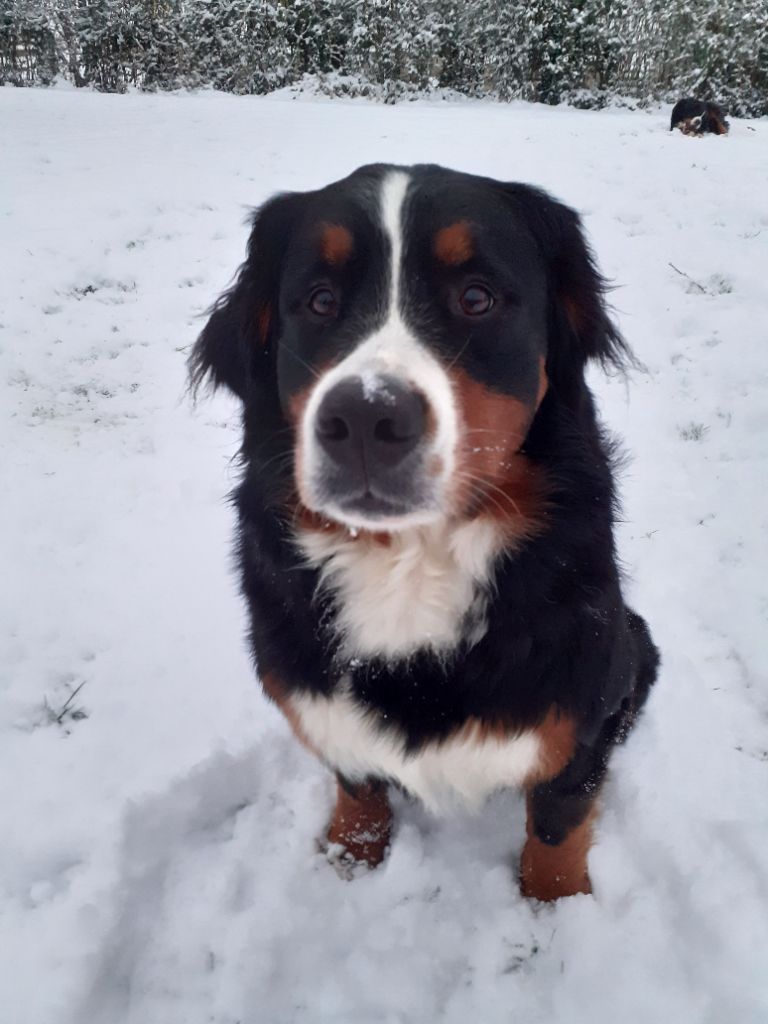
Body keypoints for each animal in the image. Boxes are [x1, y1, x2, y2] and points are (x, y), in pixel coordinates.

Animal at [191, 163, 663, 901]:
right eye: (319, 302)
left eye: (476, 297)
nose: (364, 418)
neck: (409, 562)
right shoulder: (318, 699)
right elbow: (357, 785)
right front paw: (350, 859)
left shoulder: (581, 710)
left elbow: (558, 823)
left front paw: (555, 907)